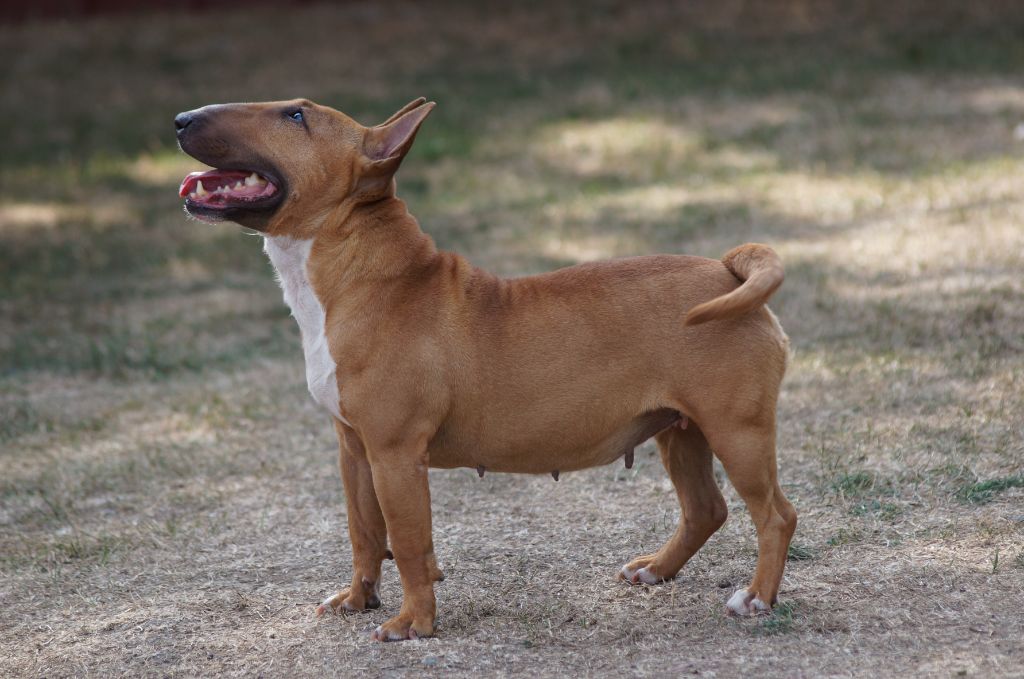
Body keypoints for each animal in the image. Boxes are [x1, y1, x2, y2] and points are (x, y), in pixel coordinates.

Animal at [176, 96, 794, 643]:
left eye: (295, 116)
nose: (181, 119)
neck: (360, 278)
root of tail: (726, 270)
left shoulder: (395, 455)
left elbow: (408, 543)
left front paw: (413, 624)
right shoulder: (354, 450)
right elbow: (364, 533)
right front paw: (357, 599)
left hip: (736, 432)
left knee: (775, 516)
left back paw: (756, 598)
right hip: (680, 430)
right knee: (705, 509)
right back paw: (656, 570)